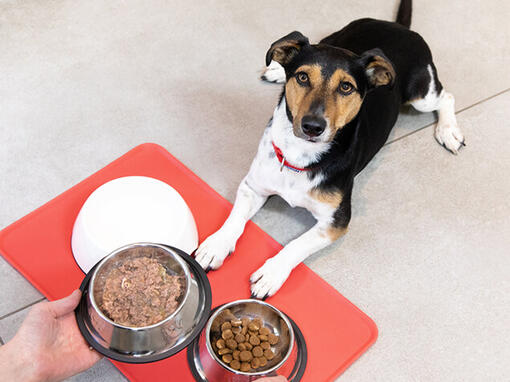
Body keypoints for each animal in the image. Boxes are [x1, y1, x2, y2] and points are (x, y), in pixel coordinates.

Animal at [193, 0, 464, 298]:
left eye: (346, 87)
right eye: (302, 77)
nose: (313, 126)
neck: (300, 154)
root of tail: (398, 26)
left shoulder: (336, 221)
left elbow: (297, 244)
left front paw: (272, 272)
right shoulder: (253, 186)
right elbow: (235, 218)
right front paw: (216, 245)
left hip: (420, 94)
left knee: (447, 97)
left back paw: (448, 131)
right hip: (331, 38)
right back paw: (276, 70)